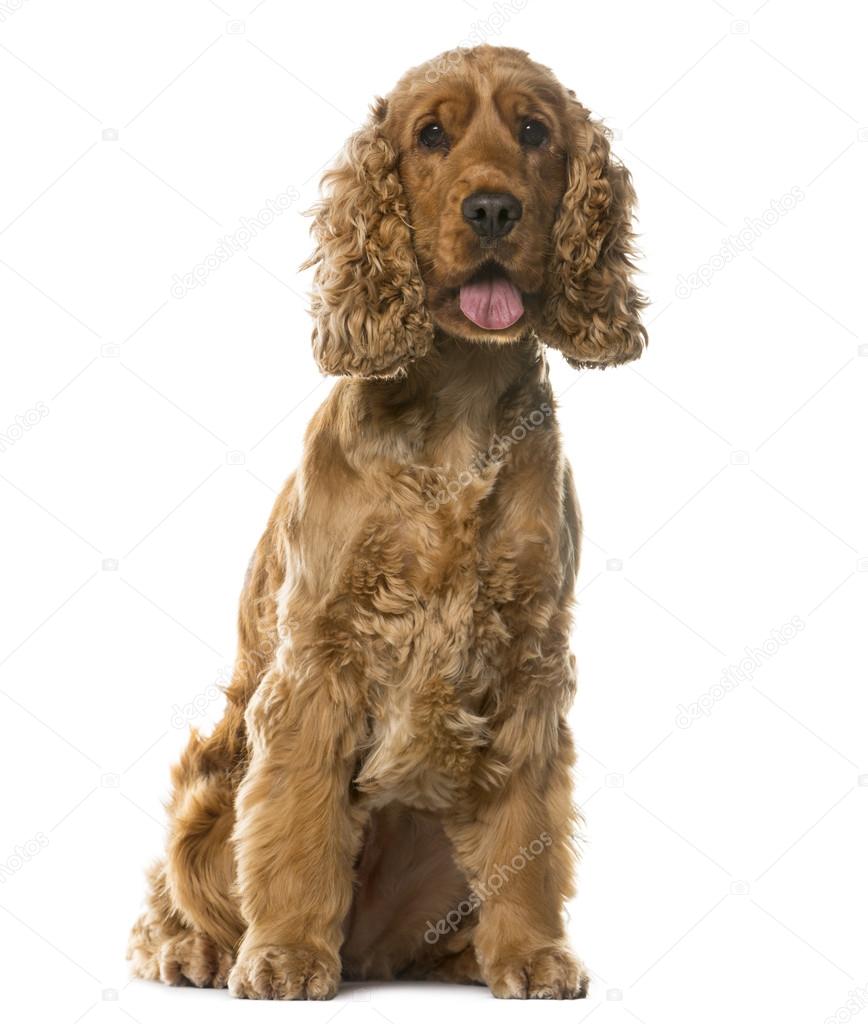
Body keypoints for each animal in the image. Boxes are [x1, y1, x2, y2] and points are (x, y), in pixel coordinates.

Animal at [126, 46, 642, 999]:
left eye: (533, 131)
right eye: (431, 135)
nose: (492, 208)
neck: (459, 412)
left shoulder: (530, 658)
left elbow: (528, 837)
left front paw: (531, 955)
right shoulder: (318, 656)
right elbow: (295, 824)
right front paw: (286, 954)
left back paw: (461, 958)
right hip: (209, 784)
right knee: (175, 892)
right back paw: (200, 950)